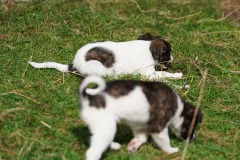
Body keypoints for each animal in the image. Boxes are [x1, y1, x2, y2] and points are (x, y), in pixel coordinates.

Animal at [28, 33, 182, 79]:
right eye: (168, 53)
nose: (173, 59)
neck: (147, 48)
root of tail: (73, 65)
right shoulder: (149, 73)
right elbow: (164, 75)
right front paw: (178, 75)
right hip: (98, 68)